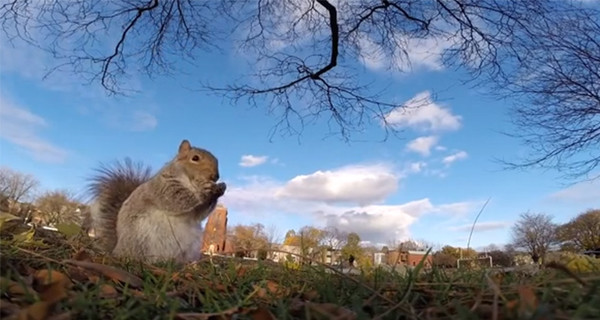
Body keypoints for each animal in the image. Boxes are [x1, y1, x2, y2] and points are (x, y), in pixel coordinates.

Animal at [85, 139, 225, 262]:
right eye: (195, 158)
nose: (215, 176)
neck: (191, 183)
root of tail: (117, 248)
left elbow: (199, 214)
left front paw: (220, 189)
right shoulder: (163, 187)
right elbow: (176, 198)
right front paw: (205, 190)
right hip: (141, 239)